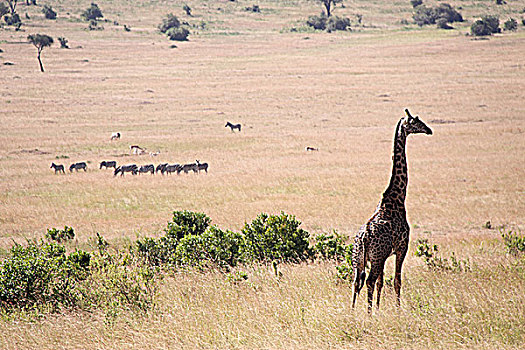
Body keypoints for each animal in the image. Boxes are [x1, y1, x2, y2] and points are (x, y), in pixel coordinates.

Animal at [350, 108, 432, 312]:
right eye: (415, 121)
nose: (429, 130)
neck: (398, 198)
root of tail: (363, 238)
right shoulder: (402, 247)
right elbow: (396, 281)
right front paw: (397, 309)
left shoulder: (385, 254)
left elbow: (382, 283)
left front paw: (380, 308)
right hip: (375, 258)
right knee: (368, 281)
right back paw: (368, 313)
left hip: (358, 260)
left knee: (356, 282)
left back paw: (353, 311)